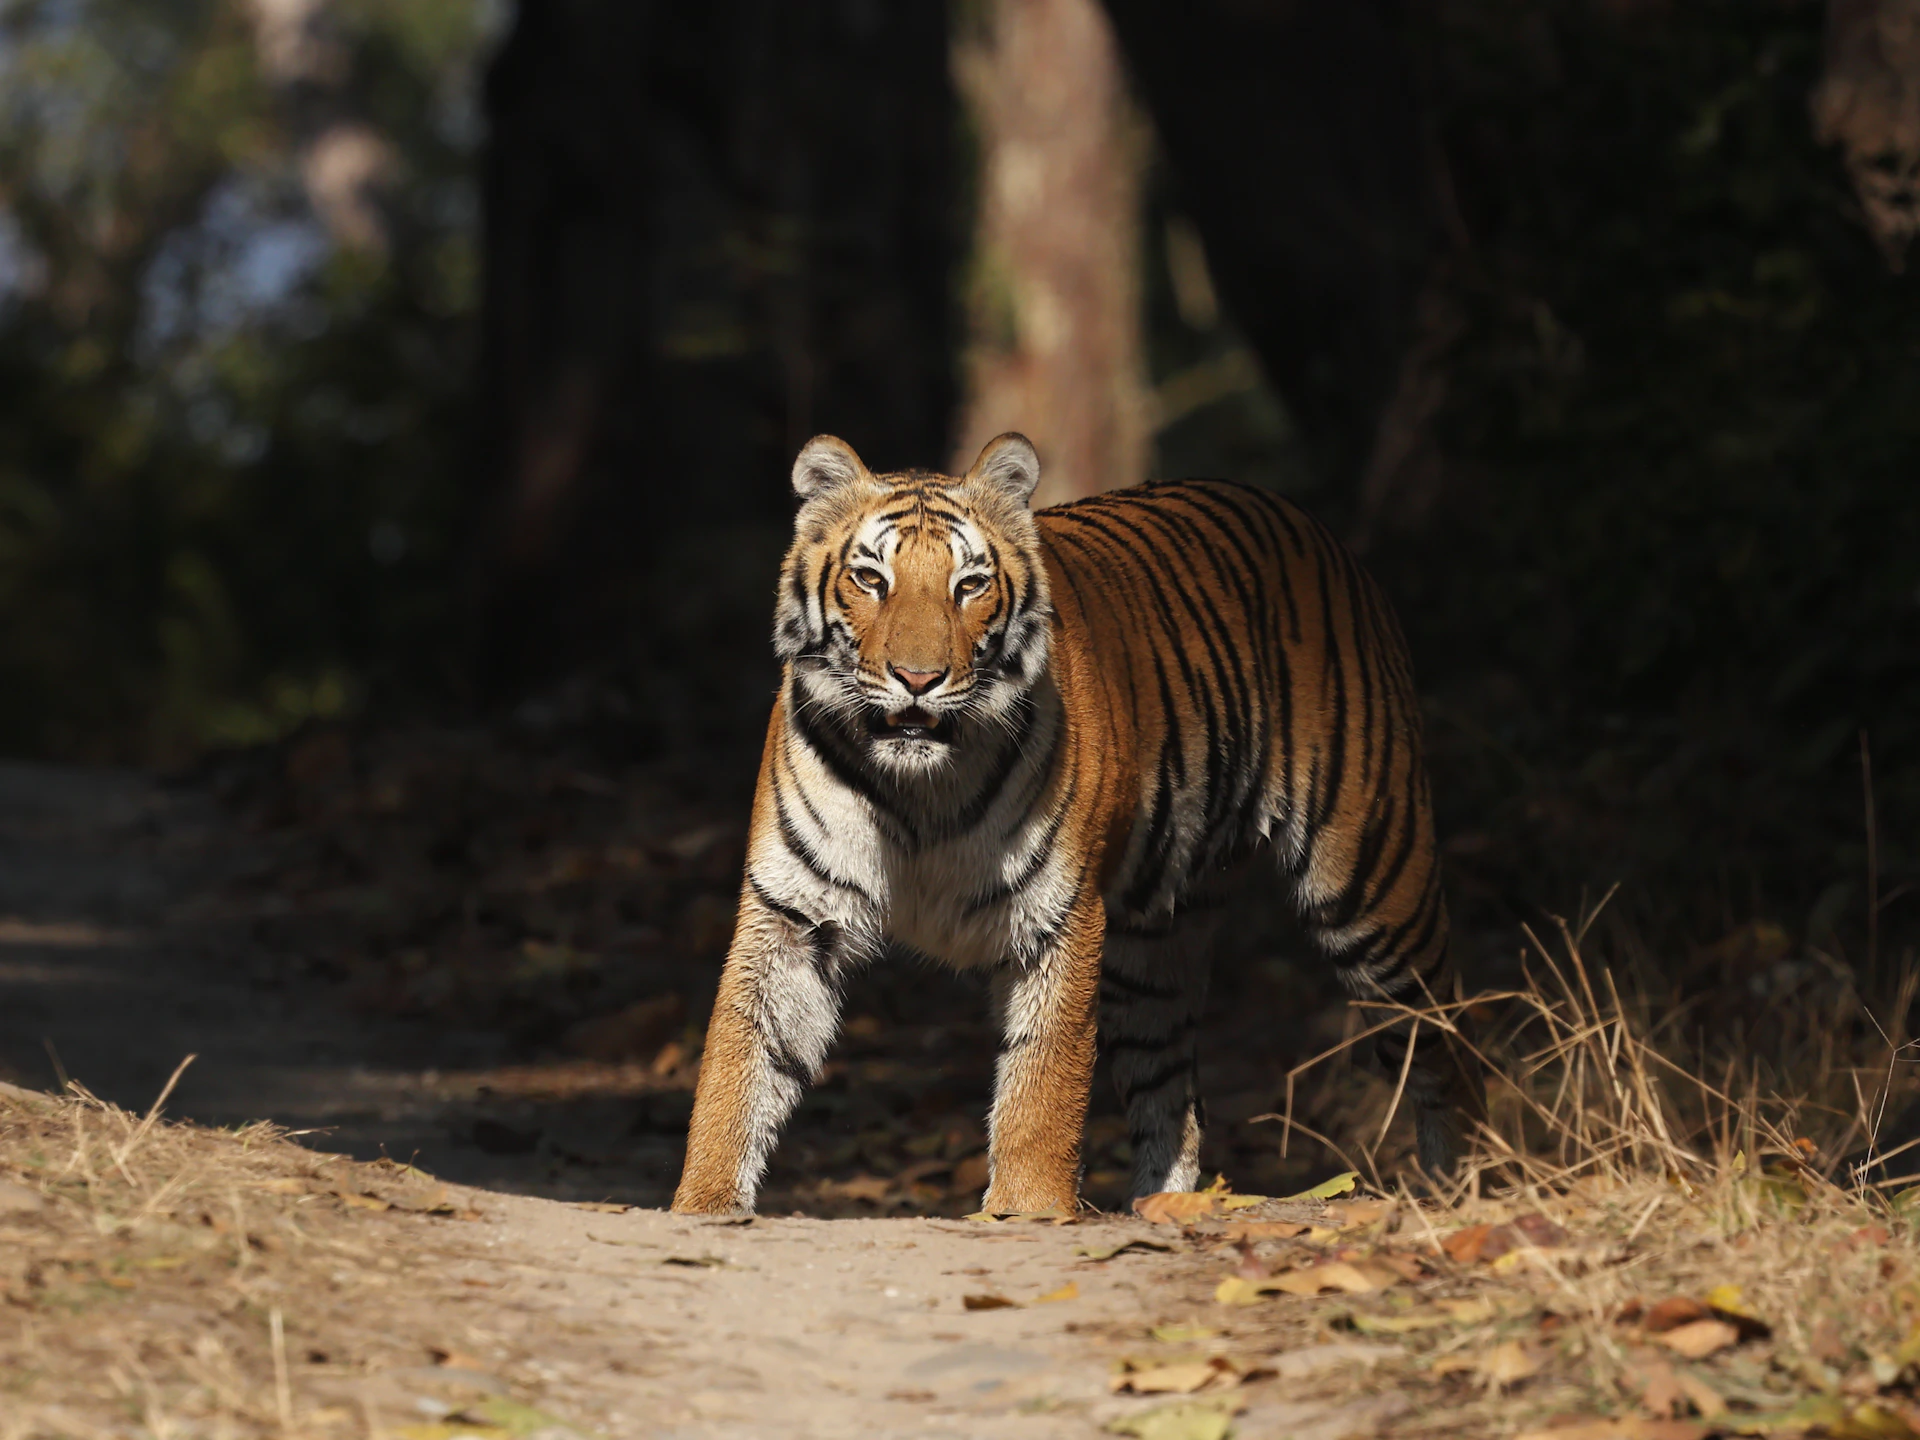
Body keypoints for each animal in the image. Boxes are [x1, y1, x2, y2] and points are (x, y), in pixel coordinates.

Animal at [671, 432, 1483, 1216]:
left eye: (970, 585)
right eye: (872, 579)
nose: (918, 679)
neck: (920, 788)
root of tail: (1311, 526)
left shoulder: (1057, 916)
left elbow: (1043, 1082)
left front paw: (1028, 1210)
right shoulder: (792, 913)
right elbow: (740, 1062)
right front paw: (704, 1204)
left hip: (1371, 880)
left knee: (1448, 1039)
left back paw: (1462, 1187)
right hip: (1153, 950)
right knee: (1175, 1096)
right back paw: (1160, 1209)